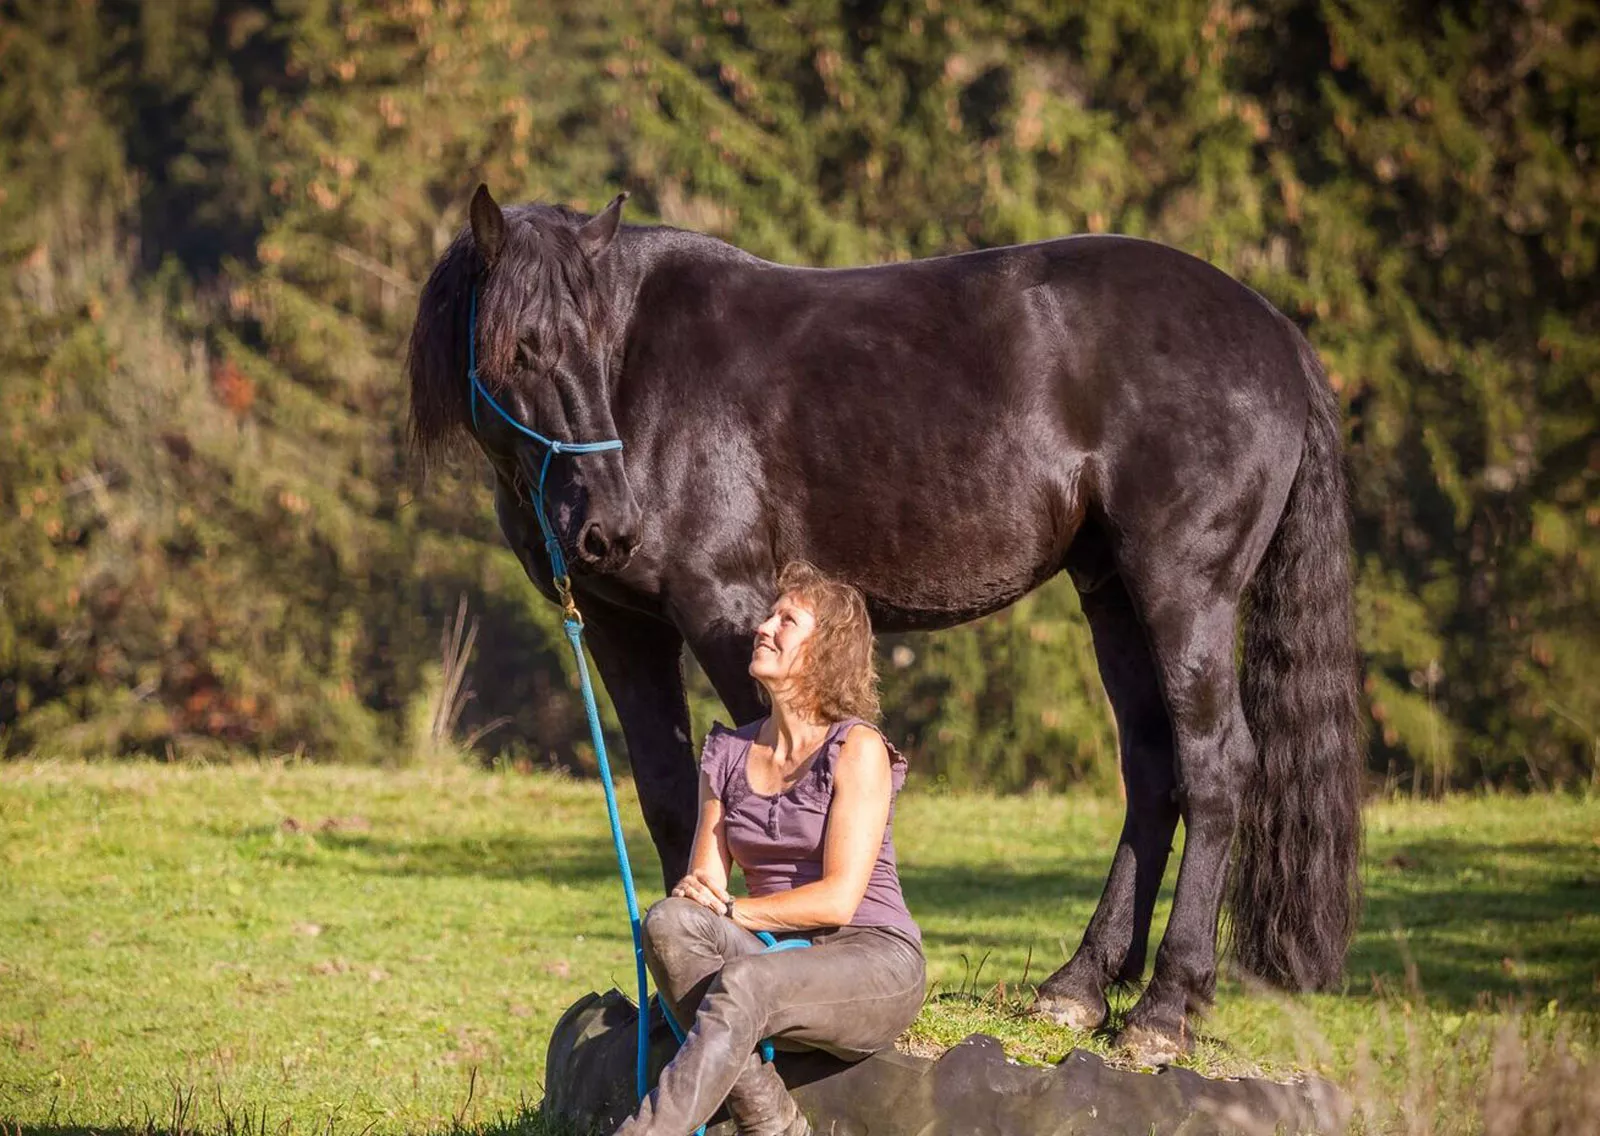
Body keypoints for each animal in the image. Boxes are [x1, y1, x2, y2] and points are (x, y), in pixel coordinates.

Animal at [407, 184, 1364, 1063]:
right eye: (522, 349)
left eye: (594, 345)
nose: (609, 524)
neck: (648, 380)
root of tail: (1276, 333)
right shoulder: (622, 628)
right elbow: (674, 801)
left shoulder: (726, 607)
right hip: (1113, 596)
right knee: (1154, 768)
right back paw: (1079, 989)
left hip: (1182, 591)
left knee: (1215, 765)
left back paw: (1164, 1010)